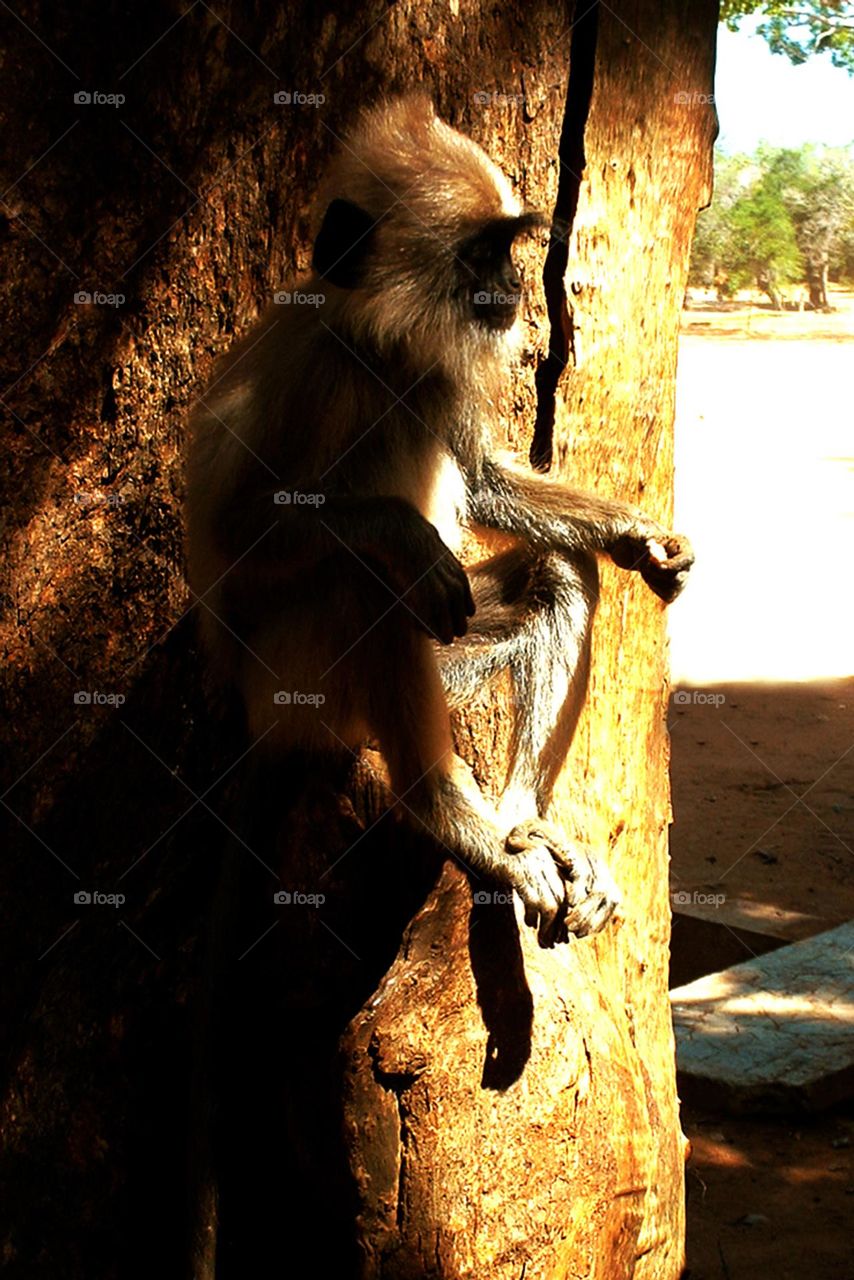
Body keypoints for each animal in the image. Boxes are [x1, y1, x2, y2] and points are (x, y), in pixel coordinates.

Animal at [185, 94, 693, 954]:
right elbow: (231, 533)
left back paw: (522, 824)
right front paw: (402, 532)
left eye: (507, 250)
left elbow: (484, 483)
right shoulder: (314, 372)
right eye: (483, 254)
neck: (377, 352)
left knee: (554, 569)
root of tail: (260, 721)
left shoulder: (434, 372)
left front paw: (635, 534)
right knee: (363, 581)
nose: (517, 280)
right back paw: (455, 820)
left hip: (436, 664)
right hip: (298, 676)